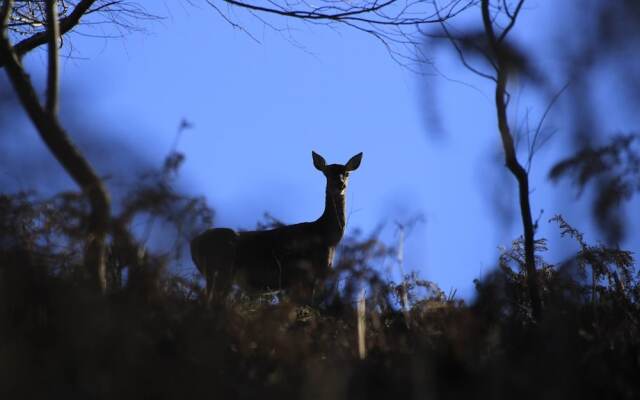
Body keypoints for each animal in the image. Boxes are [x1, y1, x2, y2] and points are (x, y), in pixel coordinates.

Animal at [188, 151, 362, 304]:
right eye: (327, 173)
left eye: (347, 173)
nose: (340, 184)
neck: (326, 237)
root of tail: (193, 243)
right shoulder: (308, 275)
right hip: (219, 270)